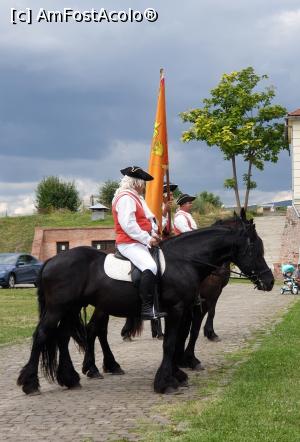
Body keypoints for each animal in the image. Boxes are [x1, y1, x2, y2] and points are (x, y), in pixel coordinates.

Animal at [17, 209, 274, 396]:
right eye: (255, 248)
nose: (269, 281)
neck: (185, 260)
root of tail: (50, 261)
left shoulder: (184, 310)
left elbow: (178, 339)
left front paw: (178, 373)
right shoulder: (179, 310)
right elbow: (172, 343)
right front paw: (167, 381)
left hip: (71, 309)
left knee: (63, 337)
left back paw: (71, 378)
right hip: (59, 309)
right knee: (43, 335)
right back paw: (31, 383)